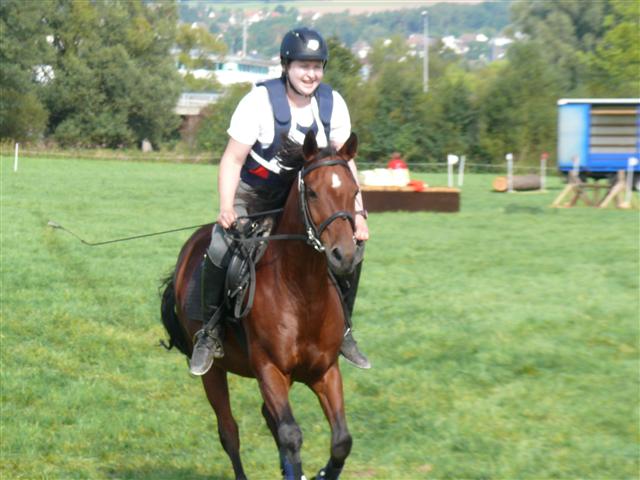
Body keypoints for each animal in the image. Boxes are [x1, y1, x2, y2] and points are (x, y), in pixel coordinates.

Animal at [160, 131, 362, 480]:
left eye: (354, 191)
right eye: (312, 192)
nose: (344, 256)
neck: (303, 292)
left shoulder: (325, 371)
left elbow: (341, 441)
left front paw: (321, 473)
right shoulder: (270, 369)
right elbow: (291, 435)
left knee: (268, 419)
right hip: (215, 373)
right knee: (229, 431)